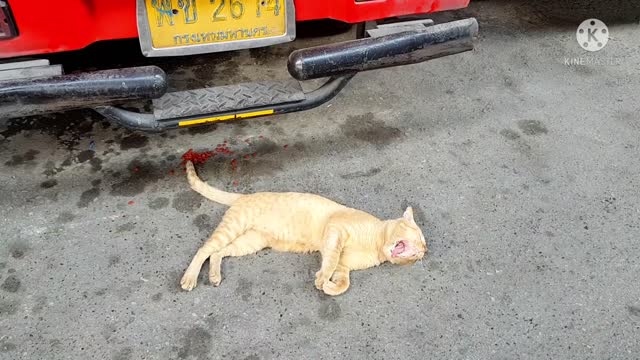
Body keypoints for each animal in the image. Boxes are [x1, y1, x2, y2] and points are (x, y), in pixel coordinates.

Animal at [180, 160, 428, 296]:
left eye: (420, 252)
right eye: (419, 238)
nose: (423, 252)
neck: (376, 245)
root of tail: (245, 196)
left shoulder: (344, 268)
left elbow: (343, 283)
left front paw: (328, 287)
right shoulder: (336, 230)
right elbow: (330, 260)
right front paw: (321, 278)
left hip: (251, 242)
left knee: (218, 253)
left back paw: (214, 275)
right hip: (233, 228)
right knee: (204, 250)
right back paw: (189, 278)